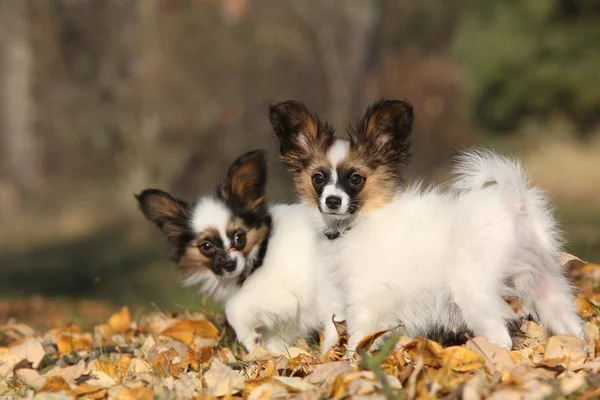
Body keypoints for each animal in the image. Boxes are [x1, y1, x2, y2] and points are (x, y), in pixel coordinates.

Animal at [137, 150, 324, 354]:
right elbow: (279, 336)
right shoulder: (291, 313)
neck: (260, 253)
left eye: (239, 238)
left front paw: (249, 340)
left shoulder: (283, 296)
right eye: (206, 246)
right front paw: (270, 352)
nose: (229, 265)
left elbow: (233, 307)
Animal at [270, 99, 584, 350]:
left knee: (501, 338)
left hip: (473, 289)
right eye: (318, 178)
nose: (332, 201)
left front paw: (353, 367)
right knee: (573, 327)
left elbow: (359, 340)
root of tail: (514, 201)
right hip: (545, 283)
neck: (357, 223)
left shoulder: (367, 300)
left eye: (356, 179)